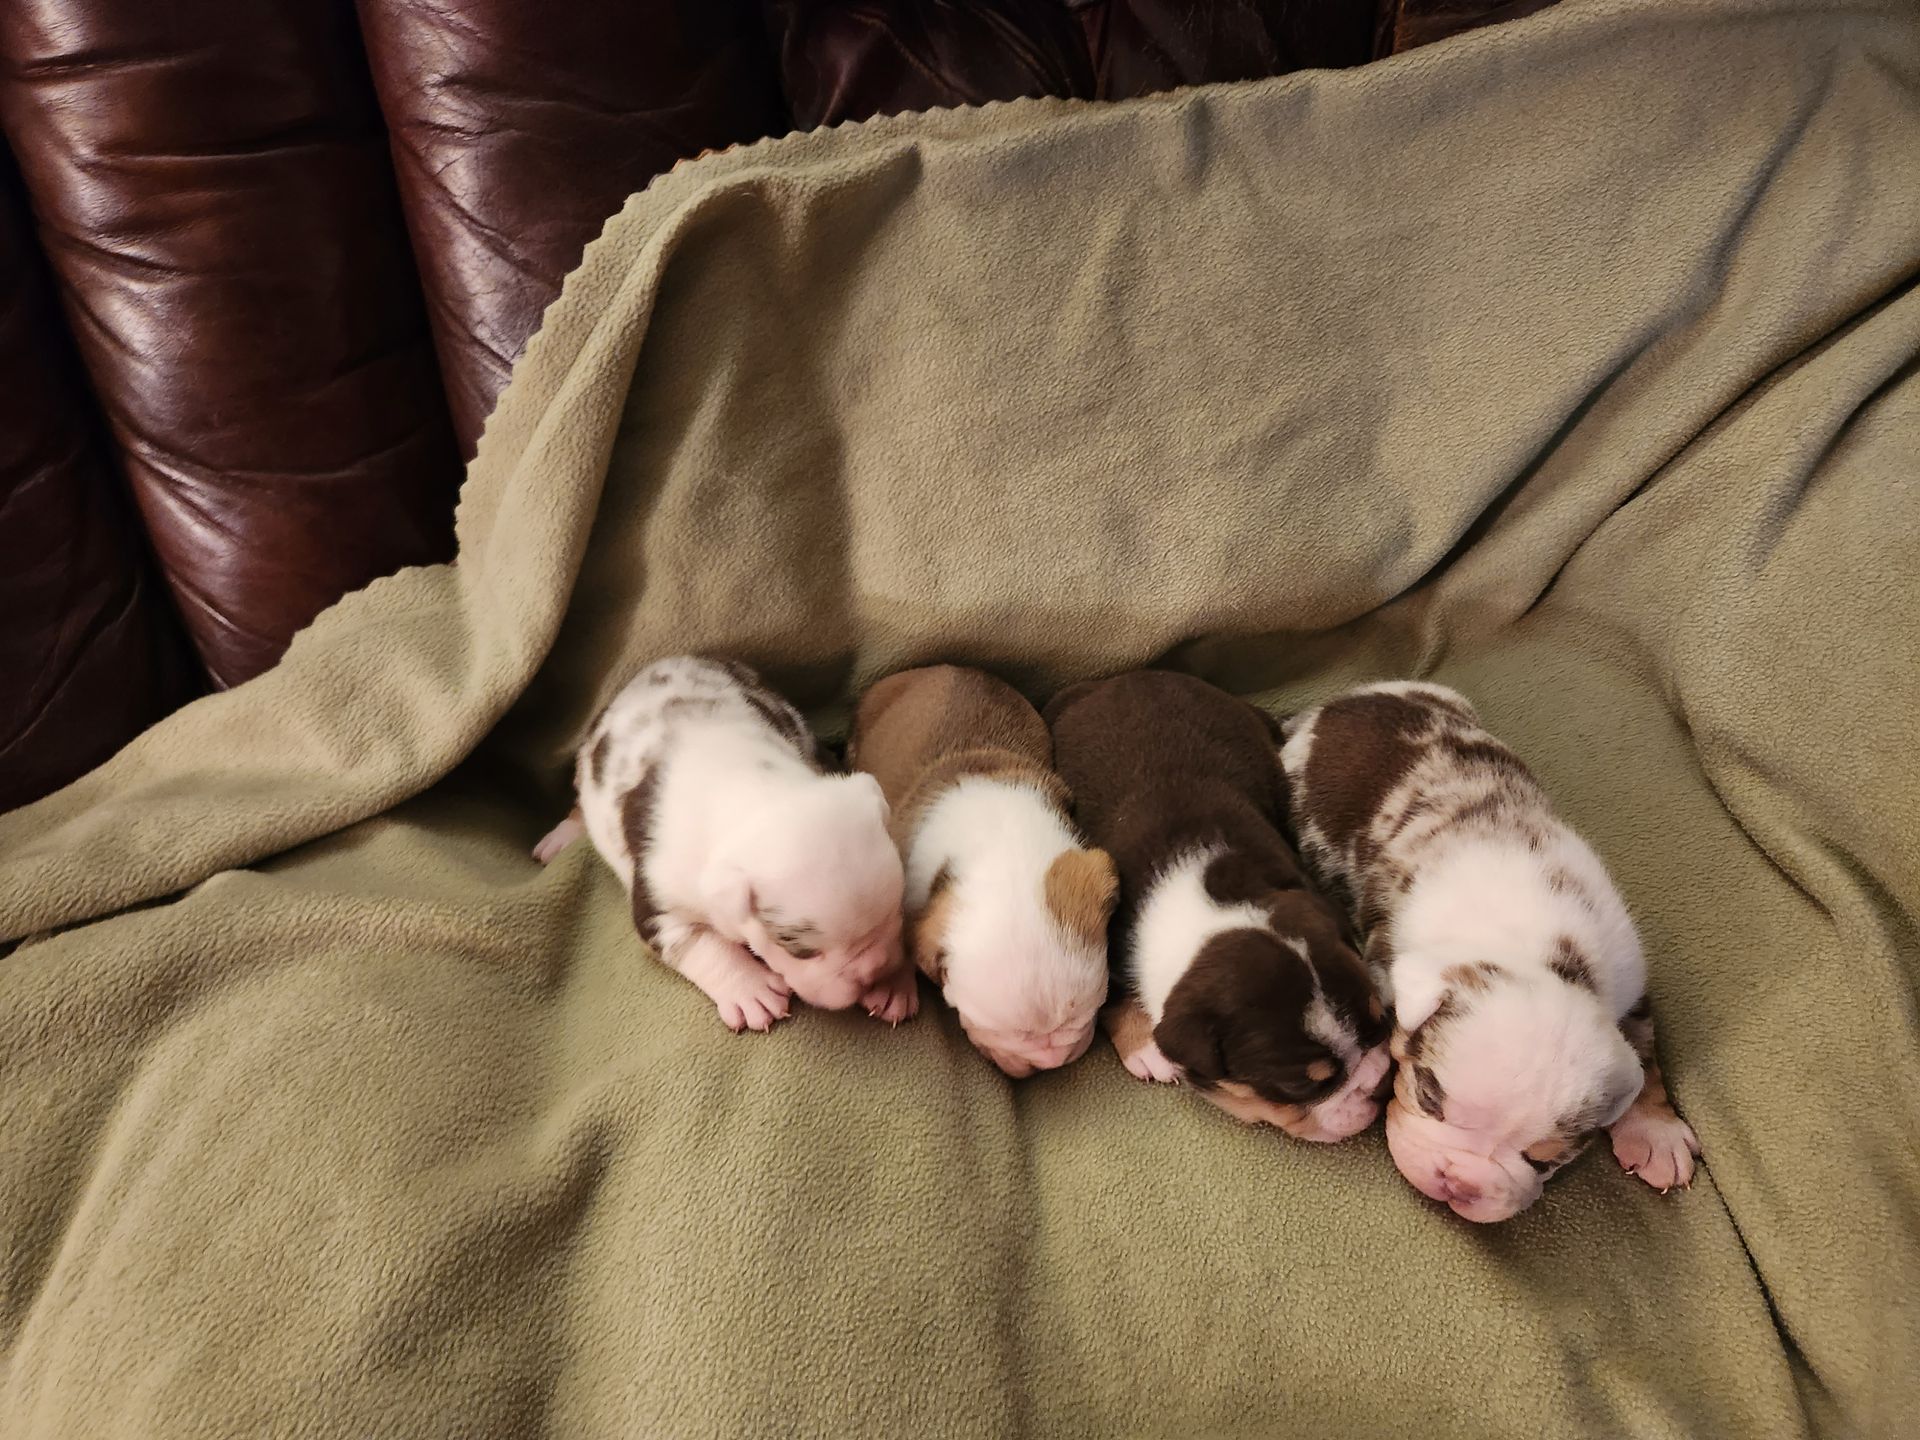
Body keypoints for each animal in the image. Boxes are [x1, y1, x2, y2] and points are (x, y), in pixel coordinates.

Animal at [533, 656, 914, 1031]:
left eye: (896, 908)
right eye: (802, 953)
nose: (873, 973)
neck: (754, 788)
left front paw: (894, 984)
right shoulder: (660, 907)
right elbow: (704, 946)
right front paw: (751, 990)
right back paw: (561, 838)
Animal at [1045, 671, 1391, 1141]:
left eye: (1383, 1020)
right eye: (1299, 1086)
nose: (1381, 1087)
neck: (1208, 905)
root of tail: (1130, 675)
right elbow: (1109, 997)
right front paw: (1144, 1047)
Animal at [1279, 680, 1700, 1221]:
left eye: (1544, 1160)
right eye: (1428, 1095)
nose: (1458, 1183)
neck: (1537, 950)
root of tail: (1331, 705)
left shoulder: (1628, 977)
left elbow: (1645, 1053)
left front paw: (1656, 1134)